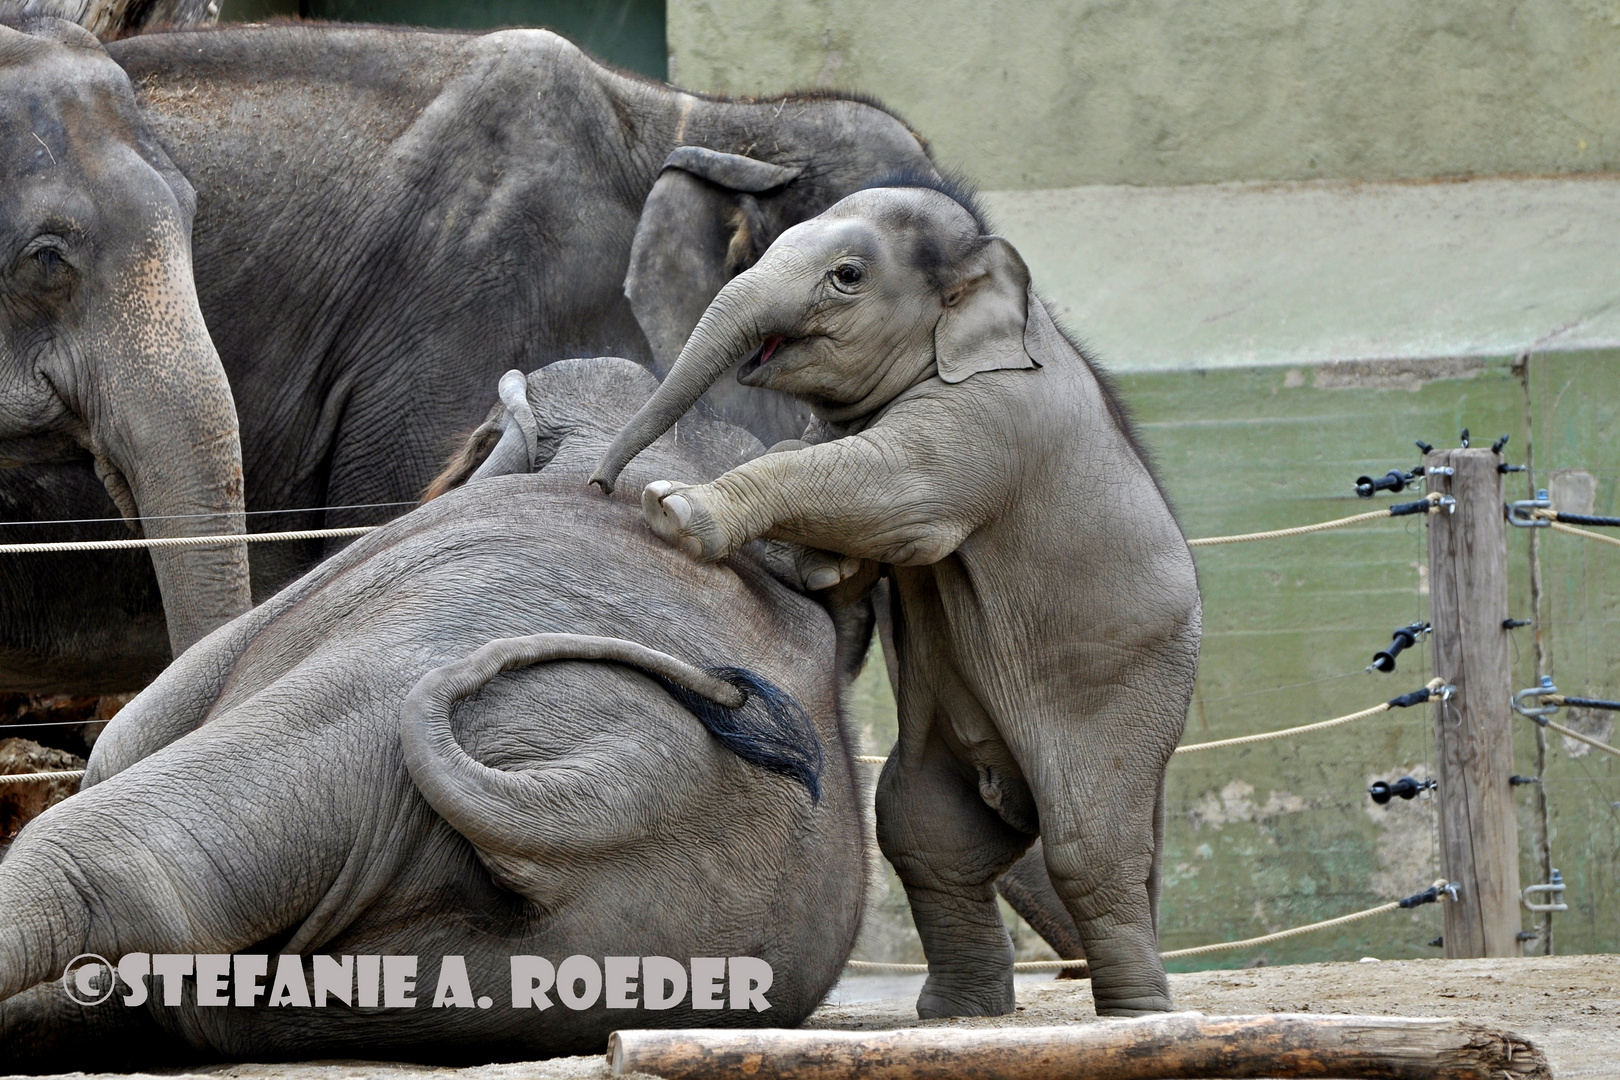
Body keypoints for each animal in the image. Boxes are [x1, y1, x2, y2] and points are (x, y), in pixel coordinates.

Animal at [589, 181, 1198, 1016]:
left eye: (847, 275)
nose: (601, 481)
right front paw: (814, 565)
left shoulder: (992, 412)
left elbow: (897, 490)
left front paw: (678, 510)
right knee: (926, 833)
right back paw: (960, 1015)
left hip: (1129, 697)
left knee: (1088, 845)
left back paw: (1135, 1017)